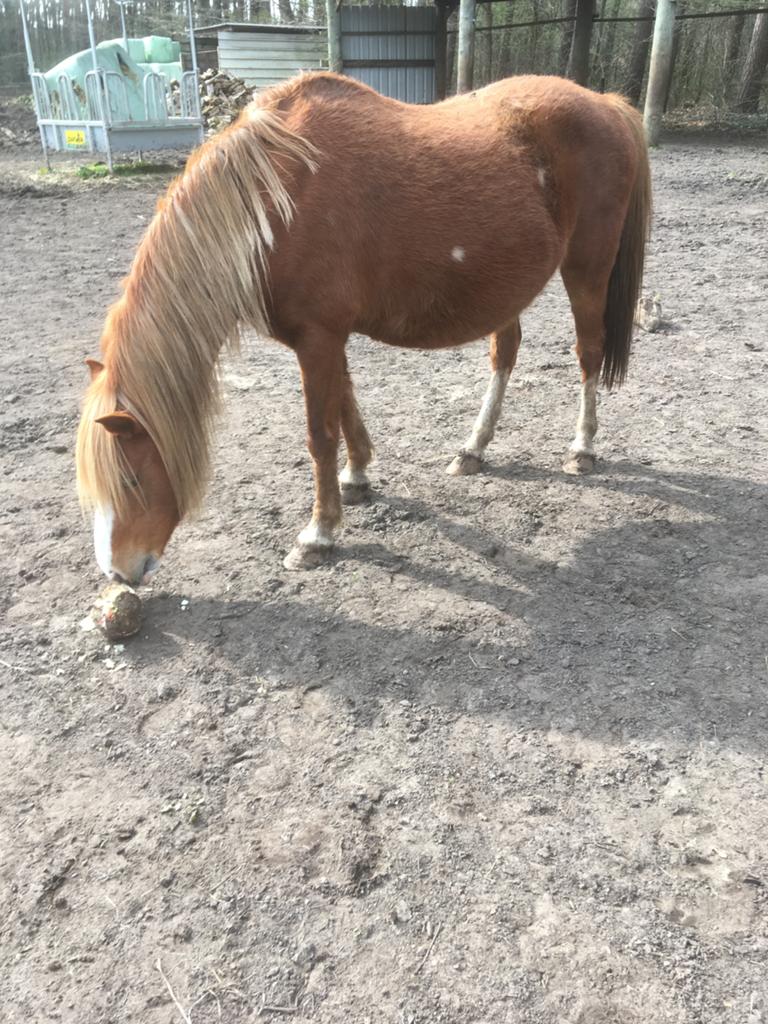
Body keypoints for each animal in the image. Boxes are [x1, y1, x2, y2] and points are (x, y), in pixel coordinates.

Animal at [76, 71, 651, 585]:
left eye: (130, 478)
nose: (119, 573)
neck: (274, 198)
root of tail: (605, 103)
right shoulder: (326, 337)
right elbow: (346, 404)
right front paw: (356, 479)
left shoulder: (318, 337)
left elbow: (320, 433)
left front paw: (318, 534)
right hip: (510, 286)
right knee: (505, 353)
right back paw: (474, 448)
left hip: (587, 269)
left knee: (588, 352)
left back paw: (581, 449)